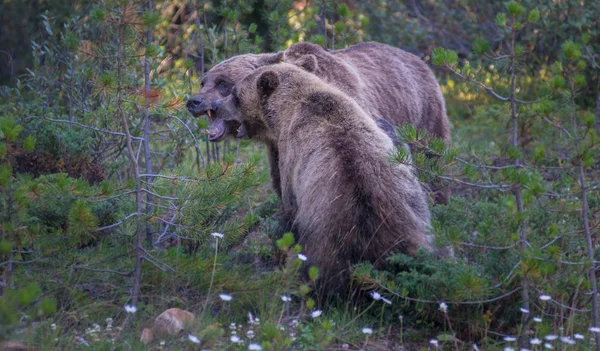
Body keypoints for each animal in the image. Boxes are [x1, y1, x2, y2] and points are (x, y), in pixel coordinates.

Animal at [188, 42, 450, 204]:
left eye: (222, 82)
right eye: (204, 81)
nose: (193, 101)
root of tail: (420, 59)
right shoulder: (279, 150)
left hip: (425, 115)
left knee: (433, 161)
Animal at [213, 63, 434, 292]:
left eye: (235, 93)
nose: (215, 105)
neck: (287, 108)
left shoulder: (291, 160)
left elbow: (288, 206)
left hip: (328, 233)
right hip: (413, 214)